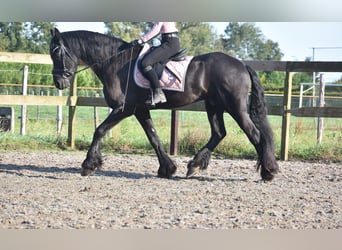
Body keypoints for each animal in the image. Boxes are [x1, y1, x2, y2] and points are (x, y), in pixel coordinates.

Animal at [49, 28, 280, 181]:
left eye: (56, 52)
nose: (59, 83)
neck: (115, 62)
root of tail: (241, 64)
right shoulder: (141, 110)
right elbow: (153, 137)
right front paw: (167, 168)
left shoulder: (124, 109)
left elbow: (99, 130)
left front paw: (89, 165)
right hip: (214, 106)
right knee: (219, 133)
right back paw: (194, 166)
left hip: (235, 107)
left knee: (254, 134)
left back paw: (268, 172)